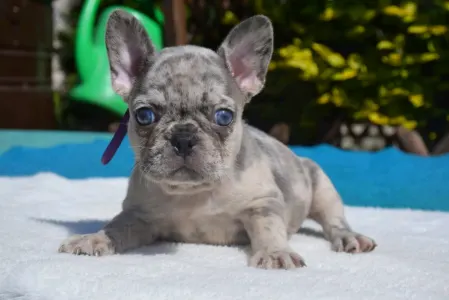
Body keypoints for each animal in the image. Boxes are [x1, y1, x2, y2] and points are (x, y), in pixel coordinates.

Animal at [58, 9, 374, 270]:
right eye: (144, 115)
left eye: (223, 116)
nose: (183, 137)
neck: (194, 194)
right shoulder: (137, 216)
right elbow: (116, 227)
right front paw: (95, 238)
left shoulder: (263, 204)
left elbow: (269, 228)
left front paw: (275, 252)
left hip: (322, 187)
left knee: (334, 221)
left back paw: (350, 237)